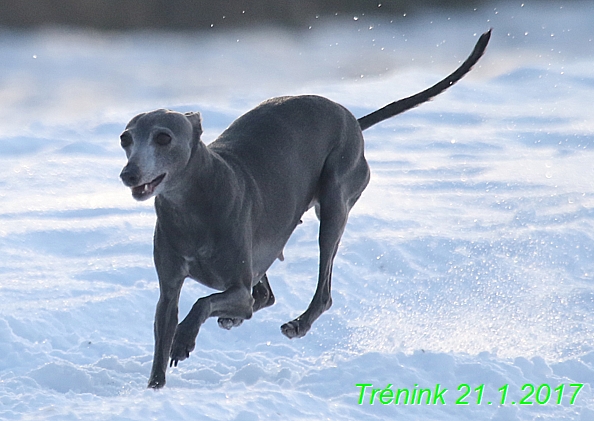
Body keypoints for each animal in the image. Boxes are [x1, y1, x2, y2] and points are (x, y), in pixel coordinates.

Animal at [118, 31, 488, 388]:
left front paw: (183, 341)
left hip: (335, 203)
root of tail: (352, 119)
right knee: (265, 296)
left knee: (318, 290)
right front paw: (155, 385)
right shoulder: (169, 290)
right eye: (125, 139)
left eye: (163, 138)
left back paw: (297, 323)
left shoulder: (238, 287)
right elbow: (166, 327)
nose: (128, 174)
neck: (192, 204)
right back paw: (234, 319)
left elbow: (202, 302)